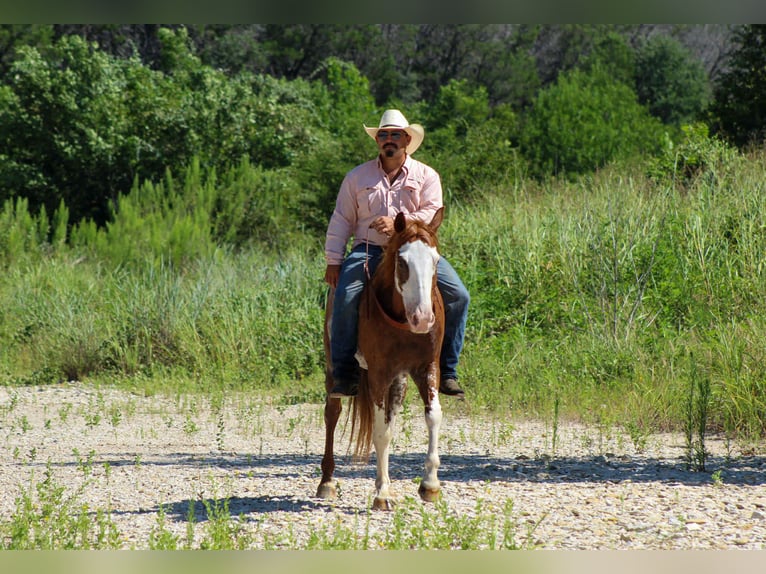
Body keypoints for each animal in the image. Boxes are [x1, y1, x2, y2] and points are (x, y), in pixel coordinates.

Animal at [316, 208, 445, 510]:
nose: (423, 319)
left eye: (436, 260)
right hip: (333, 369)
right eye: (402, 261)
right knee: (332, 413)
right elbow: (380, 433)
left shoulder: (427, 368)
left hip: (398, 382)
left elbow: (433, 416)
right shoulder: (378, 373)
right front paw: (383, 493)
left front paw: (430, 485)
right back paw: (327, 482)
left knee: (390, 417)